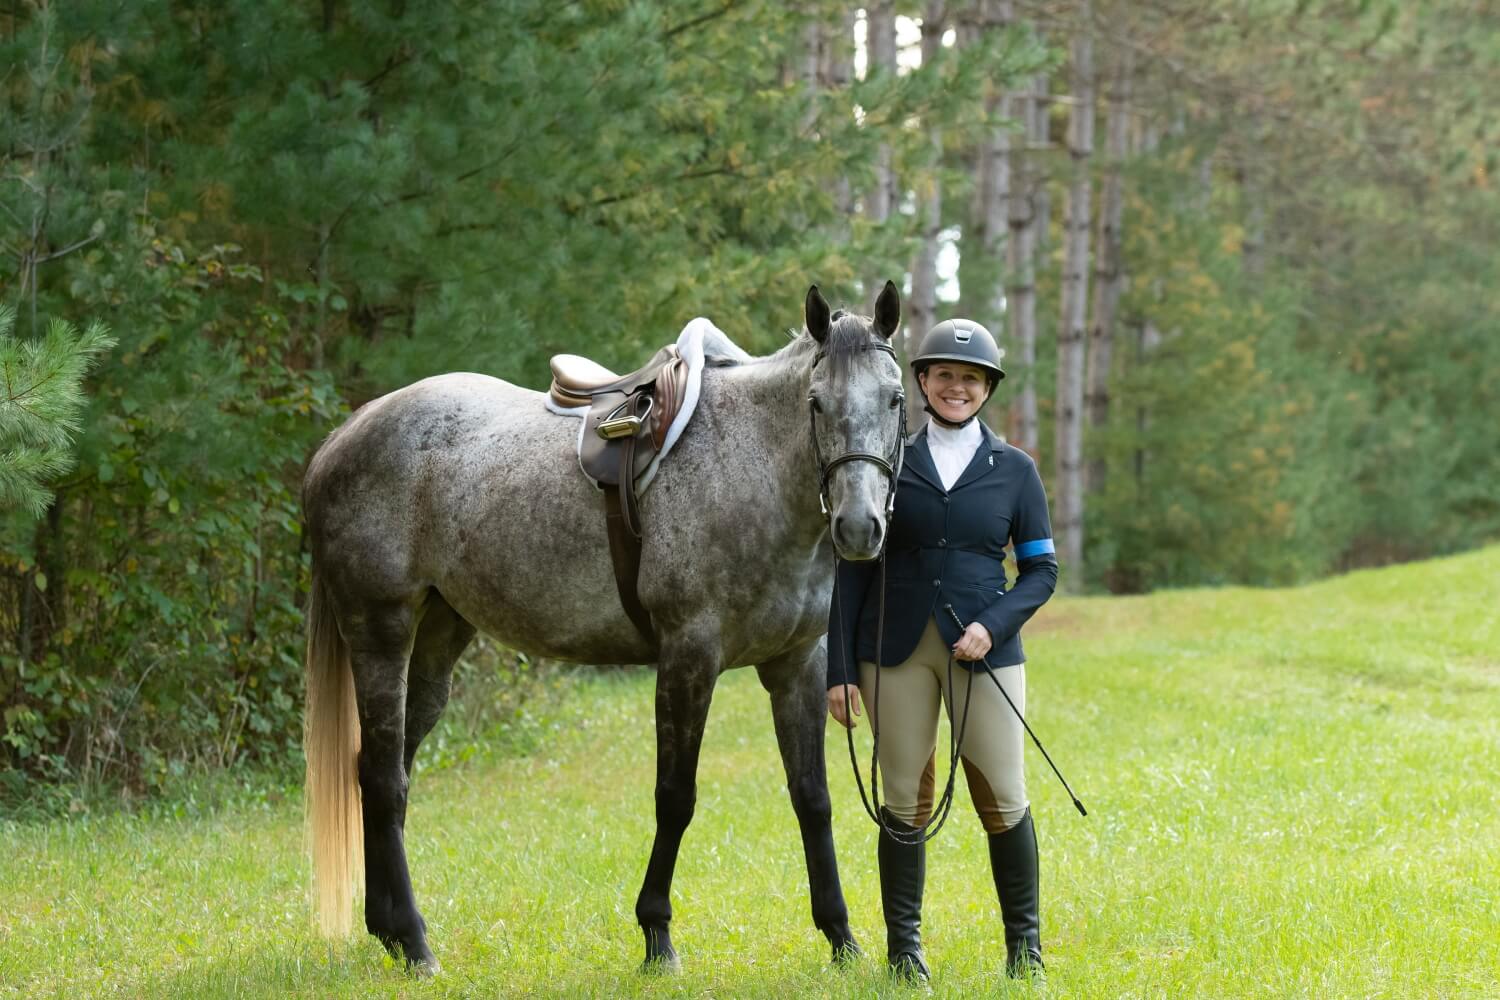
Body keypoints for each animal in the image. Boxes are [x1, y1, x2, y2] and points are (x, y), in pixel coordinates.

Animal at [298, 284, 894, 971]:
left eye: (896, 399)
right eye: (817, 403)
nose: (859, 526)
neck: (754, 469)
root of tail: (344, 435)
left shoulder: (797, 664)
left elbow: (812, 799)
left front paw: (842, 938)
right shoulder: (689, 658)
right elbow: (675, 797)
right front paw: (657, 934)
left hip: (440, 636)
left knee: (379, 768)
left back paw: (390, 930)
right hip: (380, 630)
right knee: (383, 778)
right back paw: (416, 943)